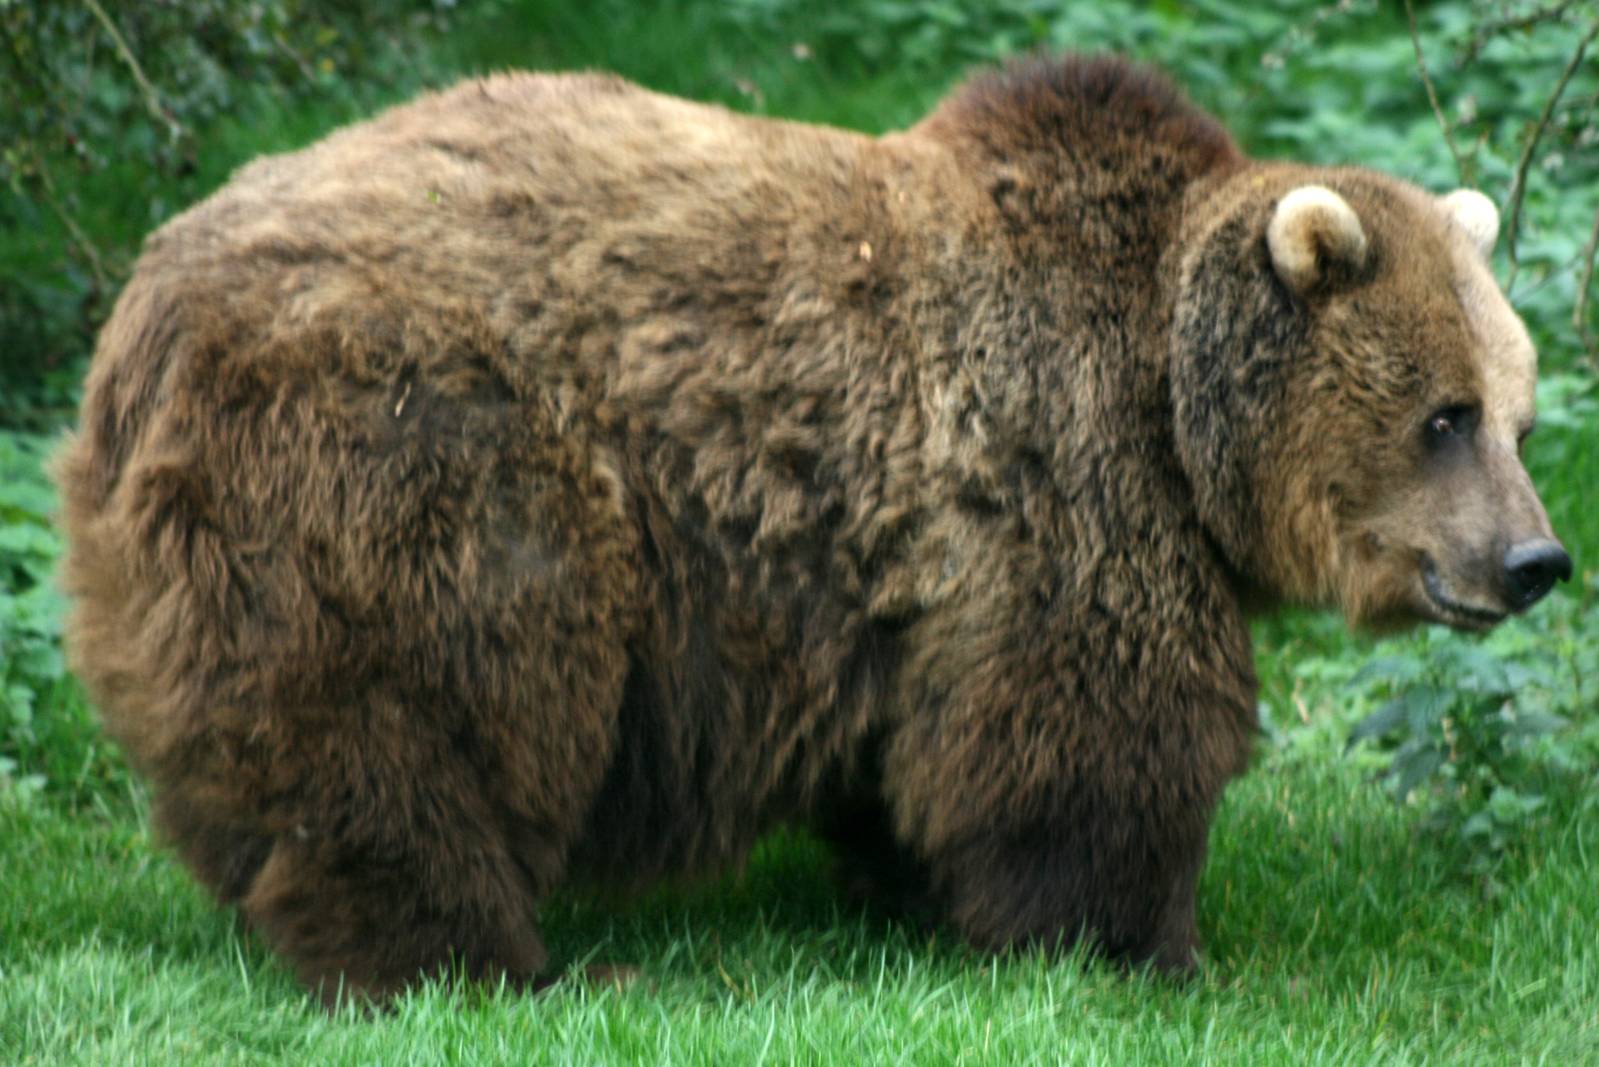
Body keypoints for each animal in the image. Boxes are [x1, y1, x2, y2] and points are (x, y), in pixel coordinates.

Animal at [56, 54, 1570, 1003]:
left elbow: (929, 751)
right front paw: (1145, 941)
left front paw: (914, 889)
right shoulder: (1059, 477)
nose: (1533, 559)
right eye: (1442, 416)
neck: (1171, 405)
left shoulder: (911, 576)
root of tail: (138, 318)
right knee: (437, 712)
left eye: (1517, 409)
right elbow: (1095, 731)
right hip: (423, 453)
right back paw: (484, 957)